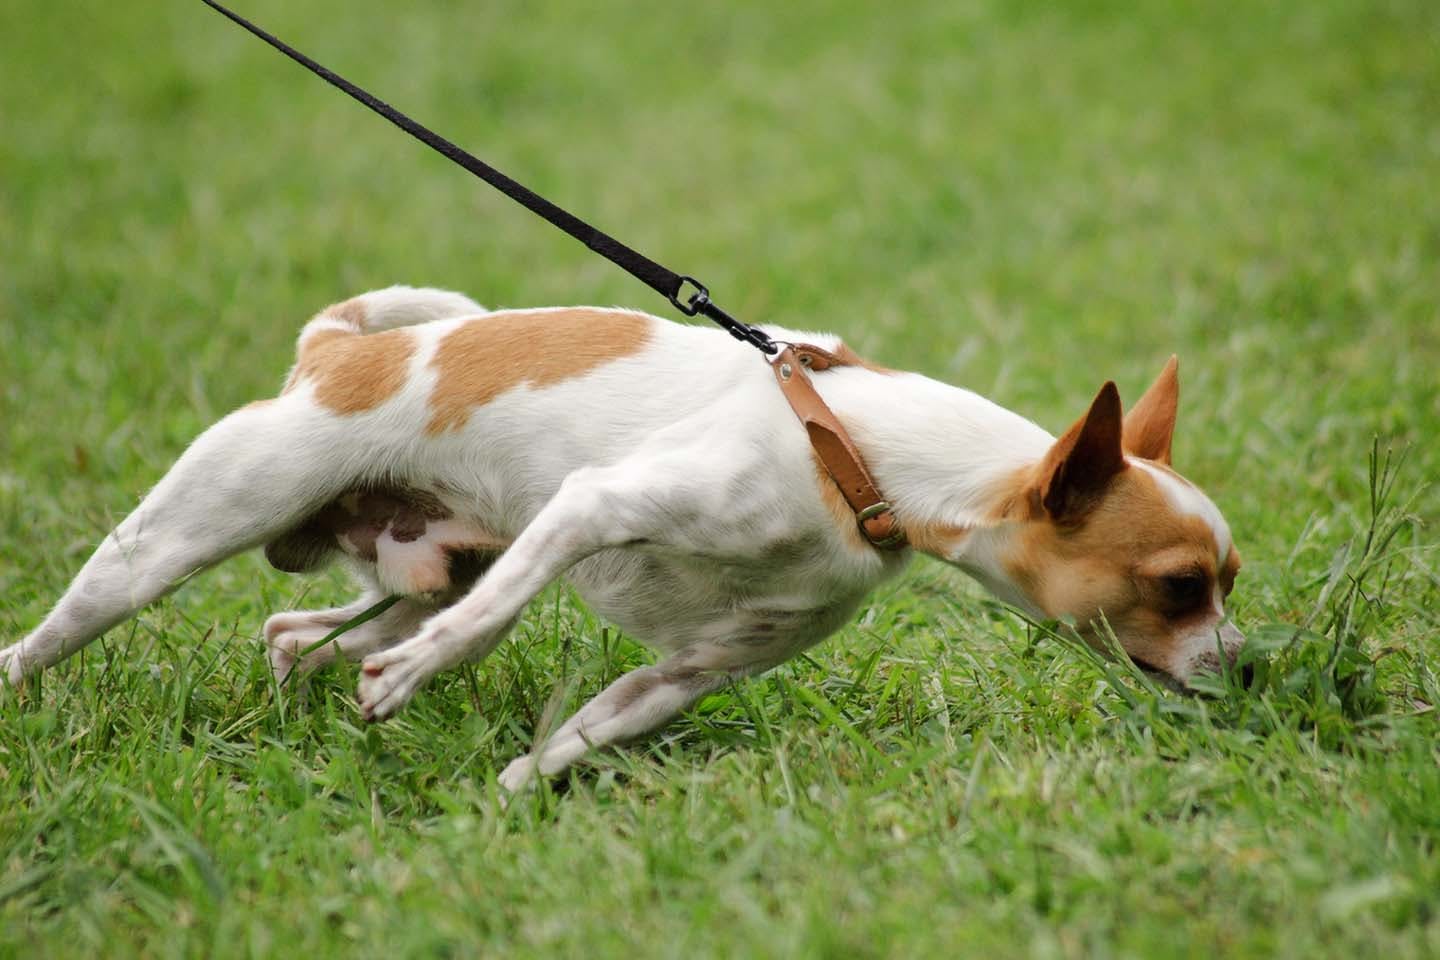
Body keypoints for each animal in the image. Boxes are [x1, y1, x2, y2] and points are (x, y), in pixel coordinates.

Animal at [0, 289, 1238, 794]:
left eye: (1229, 583)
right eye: (1182, 588)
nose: (1253, 668)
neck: (858, 453)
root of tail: (335, 351)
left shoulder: (689, 672)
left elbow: (575, 742)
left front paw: (504, 803)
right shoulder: (594, 506)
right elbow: (490, 626)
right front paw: (422, 684)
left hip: (426, 566)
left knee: (300, 633)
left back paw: (311, 675)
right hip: (169, 546)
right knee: (53, 636)